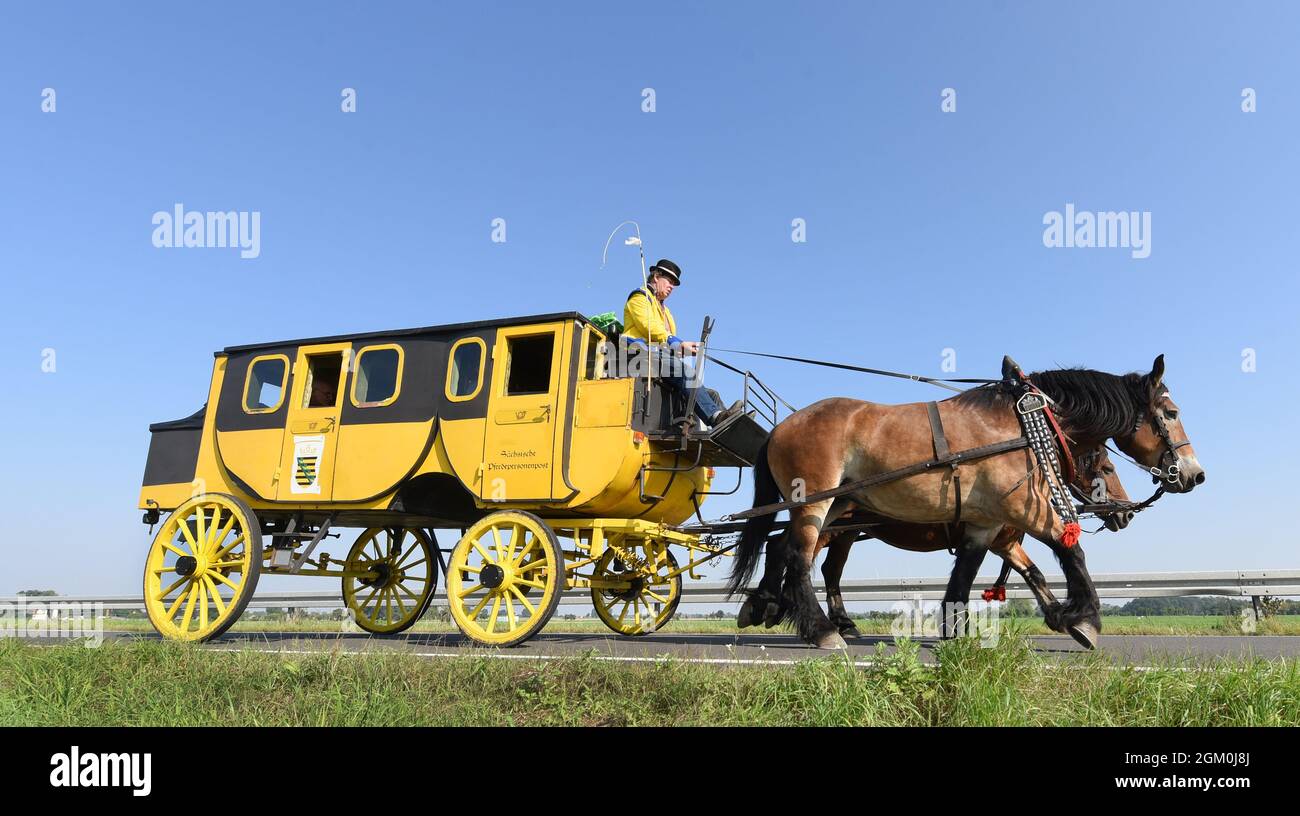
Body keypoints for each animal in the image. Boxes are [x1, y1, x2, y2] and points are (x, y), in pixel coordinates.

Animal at [743, 441, 1128, 647]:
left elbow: (1034, 575)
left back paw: (781, 607)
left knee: (809, 560)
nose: (1124, 514)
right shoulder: (1001, 538)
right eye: (1109, 469)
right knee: (794, 553)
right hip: (827, 526)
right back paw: (790, 611)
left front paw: (1058, 616)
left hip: (843, 532)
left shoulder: (1002, 541)